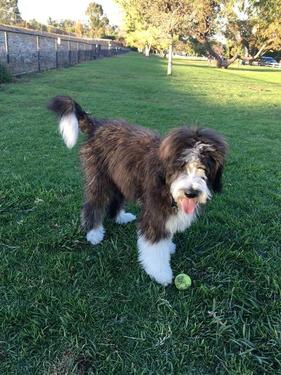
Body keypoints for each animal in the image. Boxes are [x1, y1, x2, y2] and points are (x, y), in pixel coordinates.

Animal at [48, 96, 226, 284]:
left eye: (203, 167)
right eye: (181, 166)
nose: (191, 193)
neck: (165, 179)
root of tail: (97, 125)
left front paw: (169, 246)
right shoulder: (155, 211)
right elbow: (155, 244)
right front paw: (161, 273)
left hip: (119, 178)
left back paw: (120, 217)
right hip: (100, 178)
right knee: (94, 203)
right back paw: (94, 232)